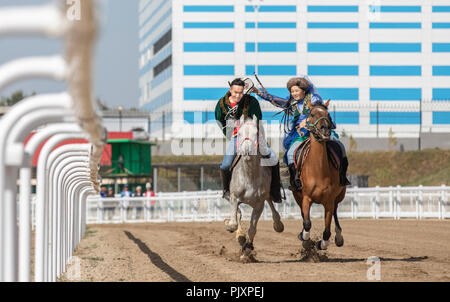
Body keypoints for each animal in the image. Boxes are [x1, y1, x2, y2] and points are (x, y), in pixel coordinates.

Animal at [225, 115, 284, 262]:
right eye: (239, 133)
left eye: (256, 133)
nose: (247, 150)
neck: (249, 176)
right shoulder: (234, 198)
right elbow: (235, 221)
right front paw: (237, 233)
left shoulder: (259, 204)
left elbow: (252, 229)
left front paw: (246, 251)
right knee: (238, 213)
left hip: (267, 195)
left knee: (271, 202)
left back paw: (278, 224)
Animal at [294, 99, 346, 250]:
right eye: (312, 114)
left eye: (328, 114)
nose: (325, 130)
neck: (318, 171)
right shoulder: (306, 197)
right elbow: (307, 222)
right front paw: (305, 238)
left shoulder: (329, 201)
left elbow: (327, 230)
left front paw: (322, 243)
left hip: (339, 196)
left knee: (335, 212)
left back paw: (339, 236)